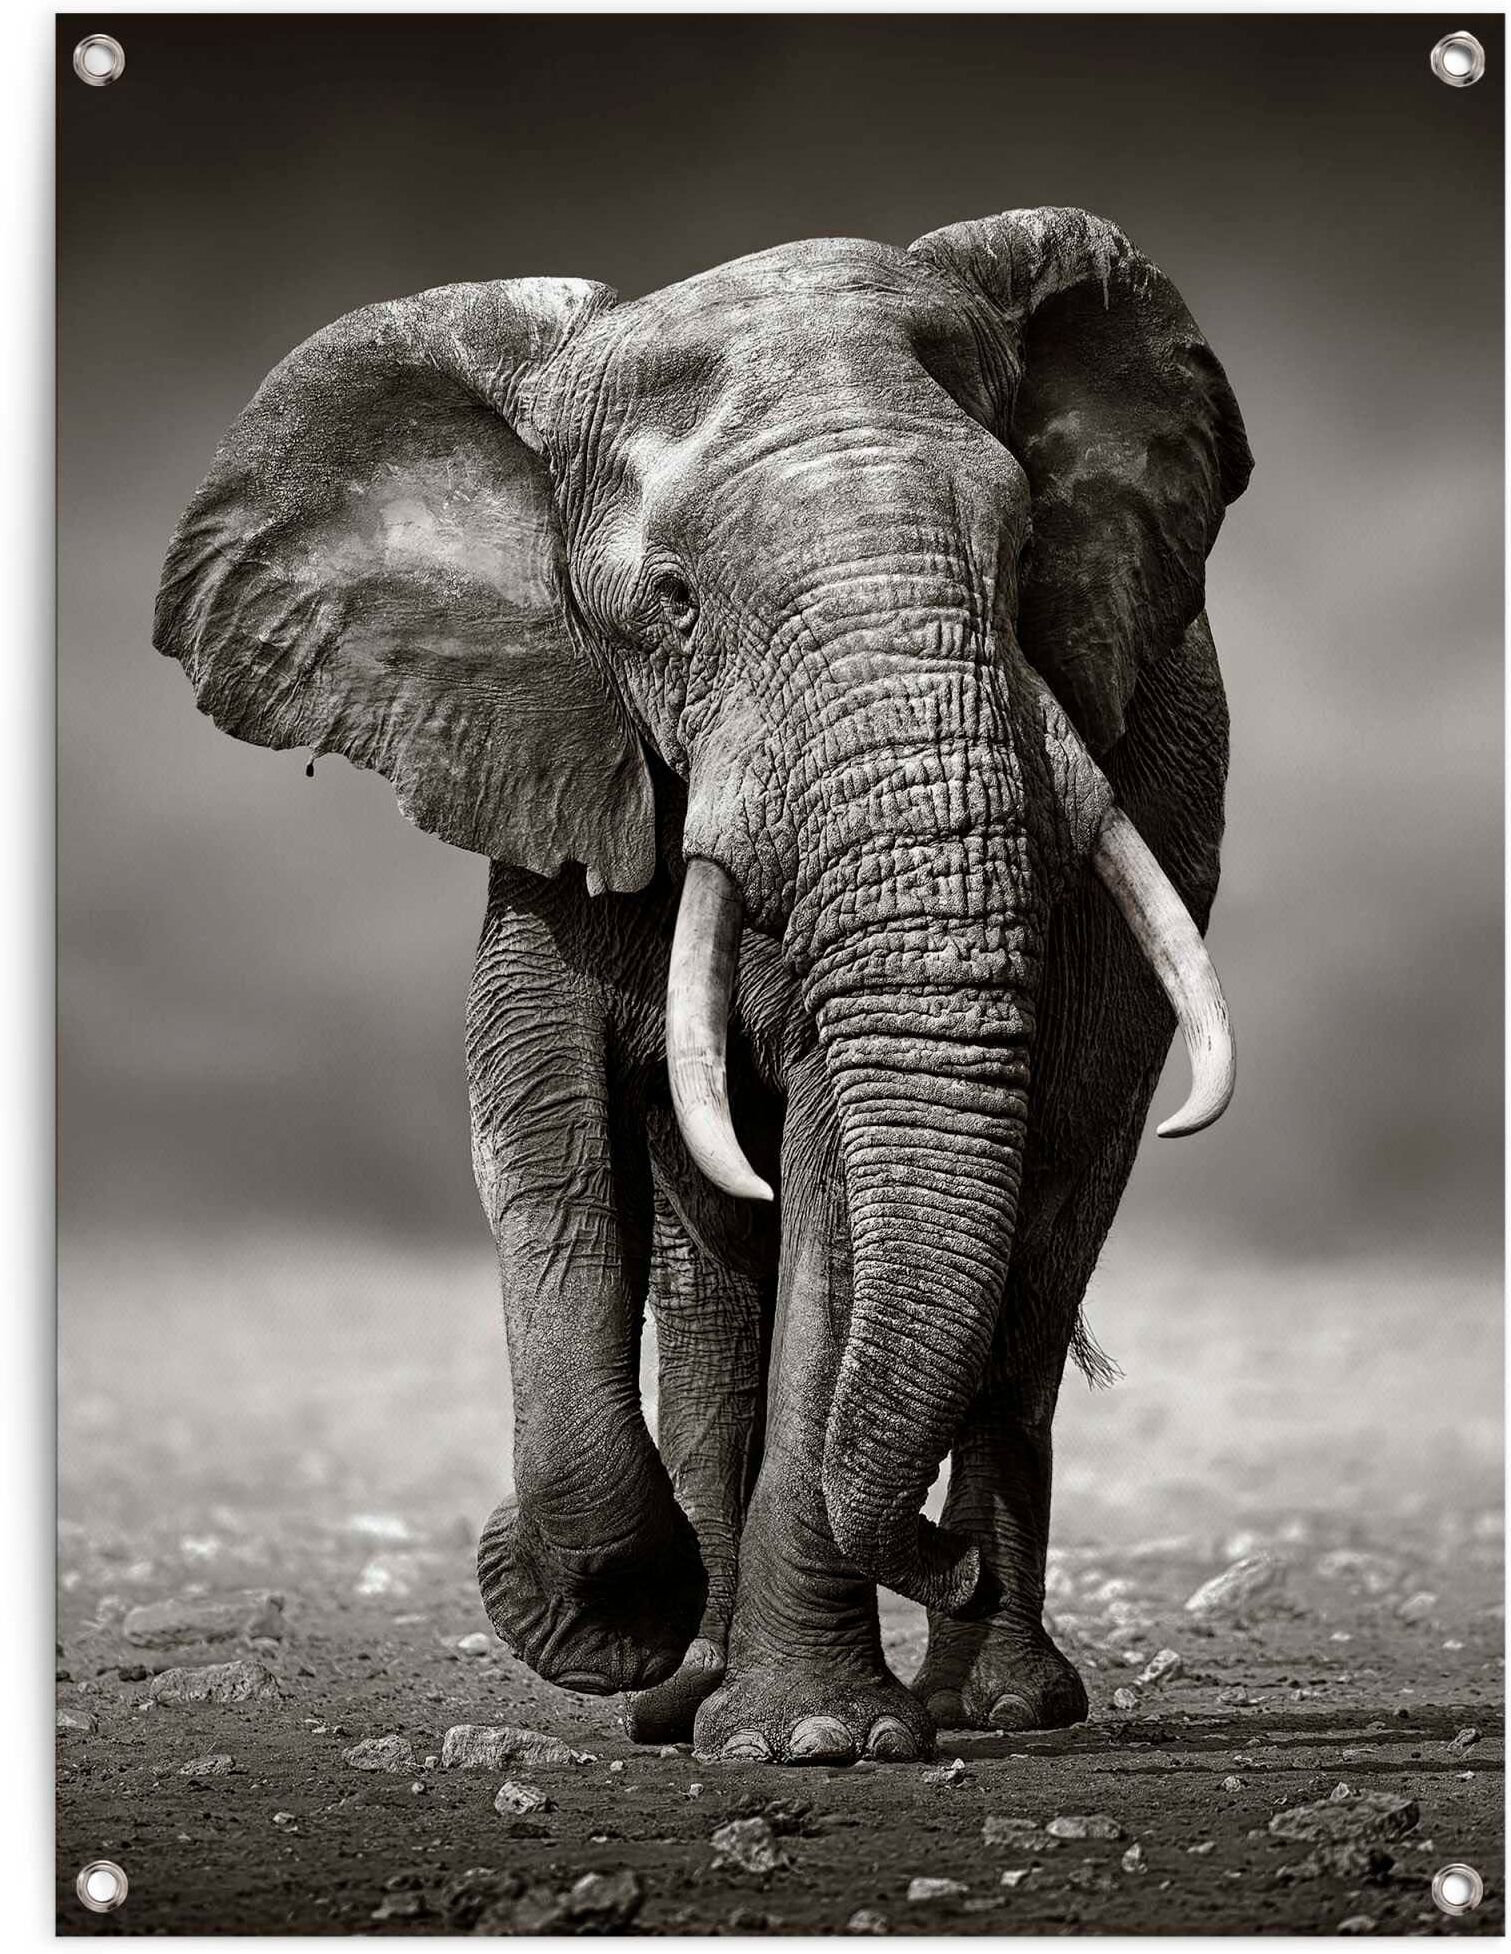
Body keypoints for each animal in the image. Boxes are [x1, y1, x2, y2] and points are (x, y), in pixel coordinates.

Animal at [154, 206, 1250, 1766]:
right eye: (670, 605)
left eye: (1025, 549)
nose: (933, 1558)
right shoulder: (548, 751)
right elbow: (538, 1129)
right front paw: (600, 1618)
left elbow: (837, 1178)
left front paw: (815, 1738)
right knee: (718, 1282)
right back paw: (692, 1690)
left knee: (1038, 1251)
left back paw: (990, 1701)